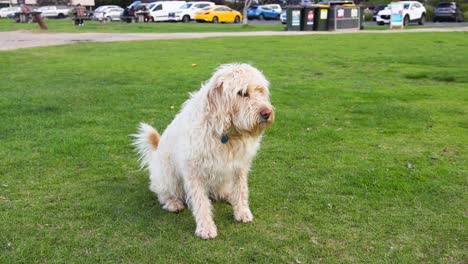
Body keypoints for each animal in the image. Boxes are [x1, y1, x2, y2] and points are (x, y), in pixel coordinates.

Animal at [133, 62, 274, 239]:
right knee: (162, 193)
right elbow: (200, 201)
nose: (267, 113)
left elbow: (241, 189)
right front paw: (206, 227)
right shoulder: (194, 171)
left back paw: (228, 195)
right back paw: (173, 203)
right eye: (242, 93)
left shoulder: (239, 165)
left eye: (260, 90)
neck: (226, 133)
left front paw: (242, 211)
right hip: (167, 176)